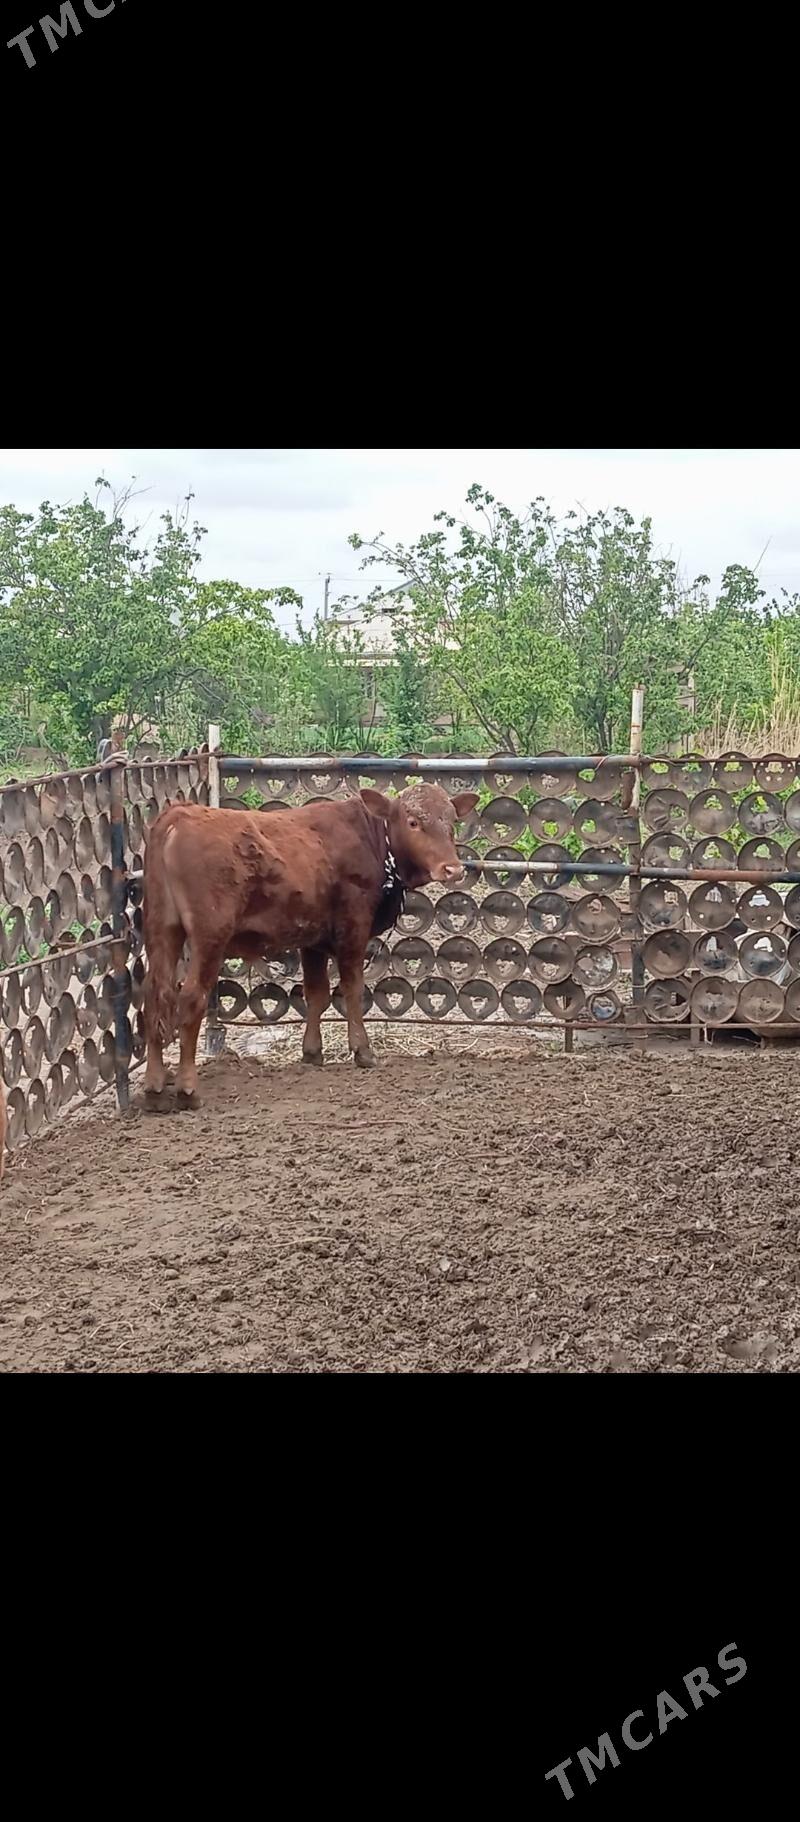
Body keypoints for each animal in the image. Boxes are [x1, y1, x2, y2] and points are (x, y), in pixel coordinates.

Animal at [142, 782, 479, 1109]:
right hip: (209, 936)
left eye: (452, 822)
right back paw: (188, 1090)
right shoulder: (353, 928)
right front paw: (363, 1051)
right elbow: (352, 989)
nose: (453, 869)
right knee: (191, 998)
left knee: (157, 997)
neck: (372, 840)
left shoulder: (313, 938)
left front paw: (312, 1052)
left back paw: (155, 1089)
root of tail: (179, 815)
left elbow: (316, 994)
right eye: (413, 821)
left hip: (162, 932)